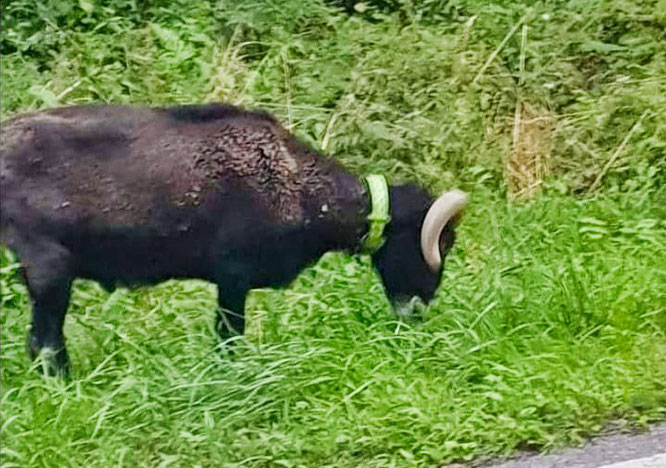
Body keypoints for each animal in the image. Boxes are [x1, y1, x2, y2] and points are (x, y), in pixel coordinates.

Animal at [0, 104, 456, 374]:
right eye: (439, 242)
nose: (418, 312)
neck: (298, 183)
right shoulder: (233, 276)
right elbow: (229, 336)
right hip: (50, 271)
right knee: (44, 344)